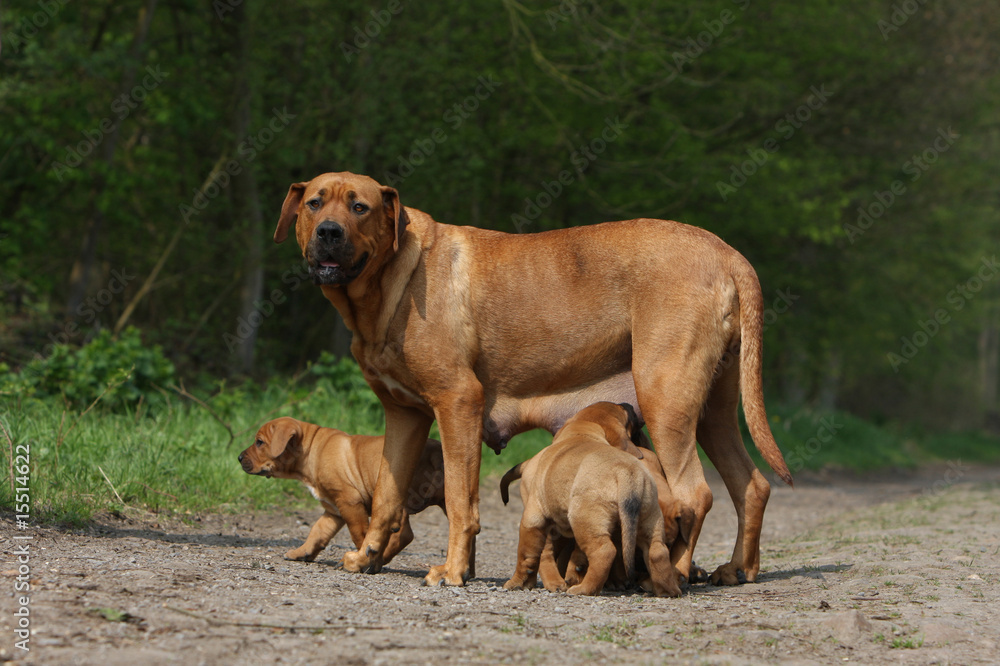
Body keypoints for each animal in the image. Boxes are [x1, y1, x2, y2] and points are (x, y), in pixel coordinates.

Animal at [237, 416, 472, 572]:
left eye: (259, 442)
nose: (239, 457)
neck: (311, 449)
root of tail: (438, 453)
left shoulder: (349, 502)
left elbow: (360, 533)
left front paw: (363, 559)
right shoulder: (333, 510)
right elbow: (317, 531)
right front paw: (301, 551)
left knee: (403, 533)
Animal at [272, 170, 788, 580]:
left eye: (360, 207)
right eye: (315, 202)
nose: (329, 232)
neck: (391, 280)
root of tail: (727, 253)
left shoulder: (457, 402)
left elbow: (460, 500)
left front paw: (453, 571)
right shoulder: (404, 415)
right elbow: (386, 496)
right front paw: (368, 557)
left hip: (667, 398)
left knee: (694, 495)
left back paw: (677, 572)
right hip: (712, 411)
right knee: (751, 486)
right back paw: (737, 570)